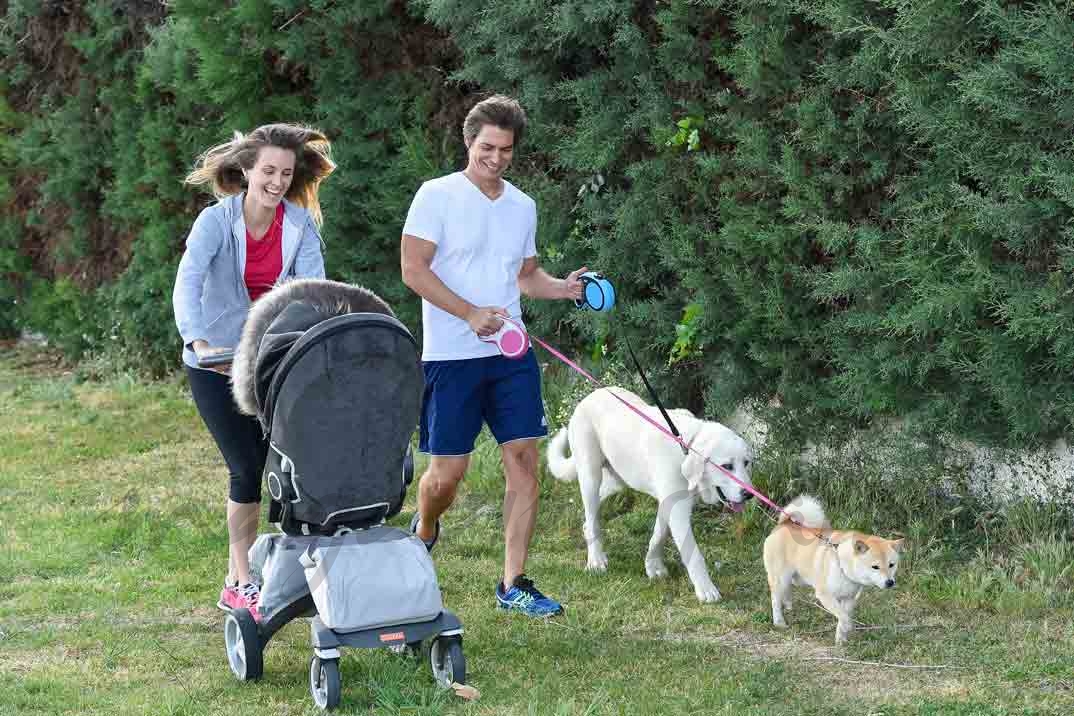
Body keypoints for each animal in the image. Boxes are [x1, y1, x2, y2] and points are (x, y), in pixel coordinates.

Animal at [545, 388, 756, 601]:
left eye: (746, 463)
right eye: (726, 466)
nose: (748, 494)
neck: (685, 448)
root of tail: (590, 395)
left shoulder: (668, 502)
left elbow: (659, 535)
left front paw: (653, 566)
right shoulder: (678, 510)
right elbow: (693, 553)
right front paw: (706, 589)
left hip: (617, 481)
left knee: (592, 516)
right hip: (590, 476)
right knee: (592, 514)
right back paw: (596, 559)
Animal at [764, 498, 906, 644]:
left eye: (891, 565)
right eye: (875, 567)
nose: (890, 582)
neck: (843, 566)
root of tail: (784, 523)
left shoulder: (849, 598)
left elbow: (842, 617)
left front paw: (840, 640)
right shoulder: (825, 595)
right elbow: (843, 617)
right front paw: (847, 628)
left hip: (795, 578)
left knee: (787, 590)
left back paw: (788, 605)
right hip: (780, 578)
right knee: (775, 599)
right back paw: (779, 621)